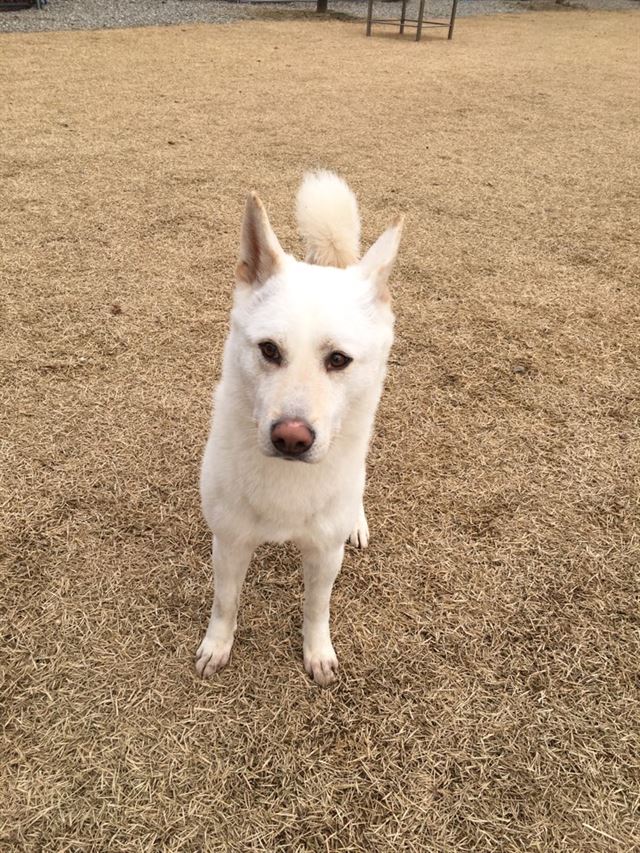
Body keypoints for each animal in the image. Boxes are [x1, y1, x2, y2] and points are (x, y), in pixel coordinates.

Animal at [198, 173, 402, 684]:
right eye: (269, 350)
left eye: (339, 360)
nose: (291, 437)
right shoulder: (230, 542)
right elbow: (225, 603)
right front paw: (217, 646)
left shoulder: (324, 554)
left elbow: (317, 607)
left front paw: (318, 653)